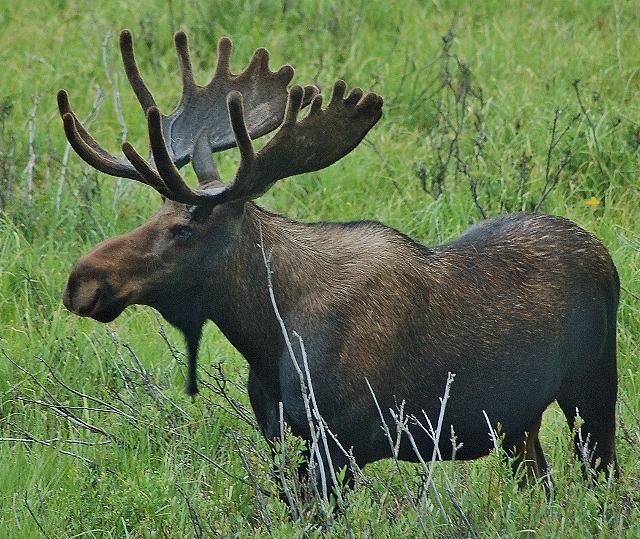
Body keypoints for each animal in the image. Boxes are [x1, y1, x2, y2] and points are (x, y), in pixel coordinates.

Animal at [60, 30, 620, 498]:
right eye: (154, 214)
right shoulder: (281, 439)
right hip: (518, 422)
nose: (80, 281)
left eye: (184, 229)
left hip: (592, 389)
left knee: (603, 479)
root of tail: (604, 255)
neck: (266, 335)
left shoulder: (341, 443)